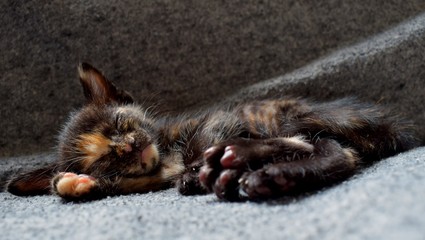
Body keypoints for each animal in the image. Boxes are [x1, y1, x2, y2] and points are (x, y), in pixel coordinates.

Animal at [5, 62, 418, 201]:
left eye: (120, 124)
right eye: (106, 159)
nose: (130, 147)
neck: (166, 156)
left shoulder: (211, 121)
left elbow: (204, 140)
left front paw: (198, 168)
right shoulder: (144, 179)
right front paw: (73, 183)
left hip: (272, 114)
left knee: (326, 147)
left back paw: (242, 163)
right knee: (333, 151)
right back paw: (268, 175)